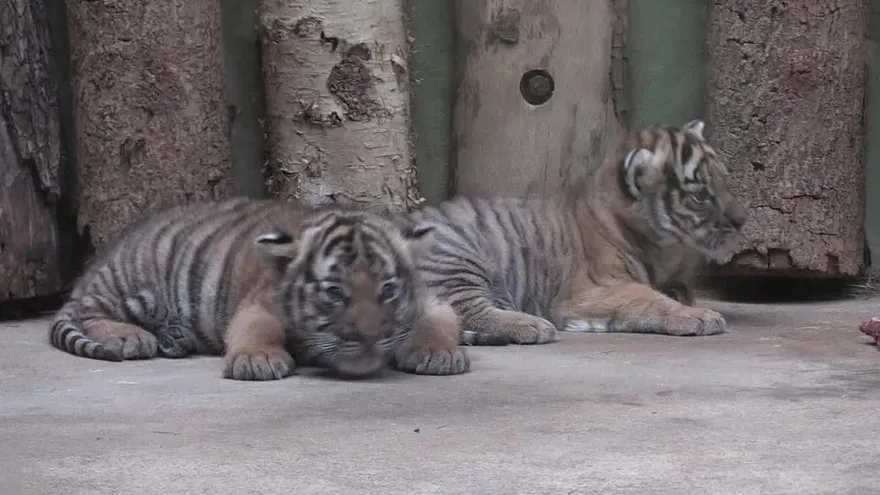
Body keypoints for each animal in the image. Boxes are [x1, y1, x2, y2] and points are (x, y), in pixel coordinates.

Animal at [49, 197, 469, 380]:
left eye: (388, 291)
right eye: (334, 292)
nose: (368, 339)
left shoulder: (432, 300)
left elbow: (440, 320)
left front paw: (437, 354)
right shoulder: (258, 304)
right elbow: (257, 328)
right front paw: (258, 360)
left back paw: (176, 337)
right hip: (136, 285)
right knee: (91, 312)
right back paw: (130, 337)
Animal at [409, 120, 748, 346]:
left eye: (725, 181)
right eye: (700, 196)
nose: (742, 220)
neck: (665, 247)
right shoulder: (591, 290)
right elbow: (646, 297)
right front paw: (699, 315)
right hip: (456, 259)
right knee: (461, 310)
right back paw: (532, 325)